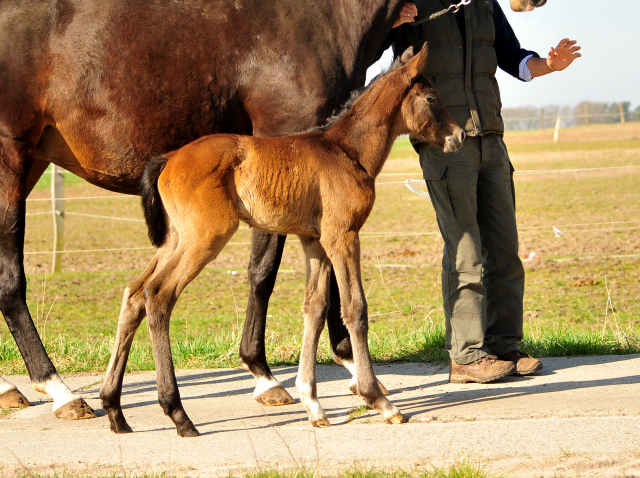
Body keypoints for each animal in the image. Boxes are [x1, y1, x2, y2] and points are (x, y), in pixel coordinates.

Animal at [100, 45, 464, 436]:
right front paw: (379, 400)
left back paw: (114, 409)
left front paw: (313, 403)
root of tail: (167, 159)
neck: (345, 150)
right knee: (158, 296)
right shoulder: (342, 236)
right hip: (204, 238)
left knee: (135, 294)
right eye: (431, 98)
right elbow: (355, 308)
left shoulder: (315, 242)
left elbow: (315, 308)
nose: (459, 135)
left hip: (174, 240)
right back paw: (178, 413)